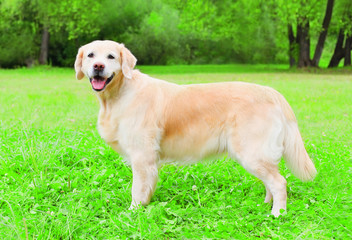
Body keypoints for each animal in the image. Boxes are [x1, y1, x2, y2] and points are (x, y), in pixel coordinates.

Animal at [74, 40, 316, 217]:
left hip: (251, 152)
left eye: (111, 57)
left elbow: (137, 189)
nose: (98, 67)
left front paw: (133, 213)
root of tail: (271, 92)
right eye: (91, 55)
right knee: (271, 182)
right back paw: (264, 205)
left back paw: (277, 214)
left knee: (279, 182)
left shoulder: (142, 156)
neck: (119, 94)